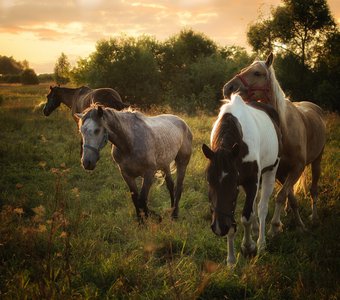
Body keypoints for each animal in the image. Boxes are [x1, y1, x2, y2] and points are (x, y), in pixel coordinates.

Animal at [203, 94, 280, 264]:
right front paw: (231, 260)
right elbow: (234, 222)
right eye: (209, 180)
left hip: (271, 171)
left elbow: (247, 217)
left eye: (232, 182)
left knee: (262, 207)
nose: (218, 227)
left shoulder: (250, 181)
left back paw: (261, 242)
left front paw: (248, 247)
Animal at [223, 53, 326, 232]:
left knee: (313, 190)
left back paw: (314, 217)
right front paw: (287, 222)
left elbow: (281, 195)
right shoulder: (279, 171)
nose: (228, 88)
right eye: (243, 69)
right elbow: (289, 196)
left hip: (317, 161)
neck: (284, 130)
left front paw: (275, 226)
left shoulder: (297, 167)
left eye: (257, 73)